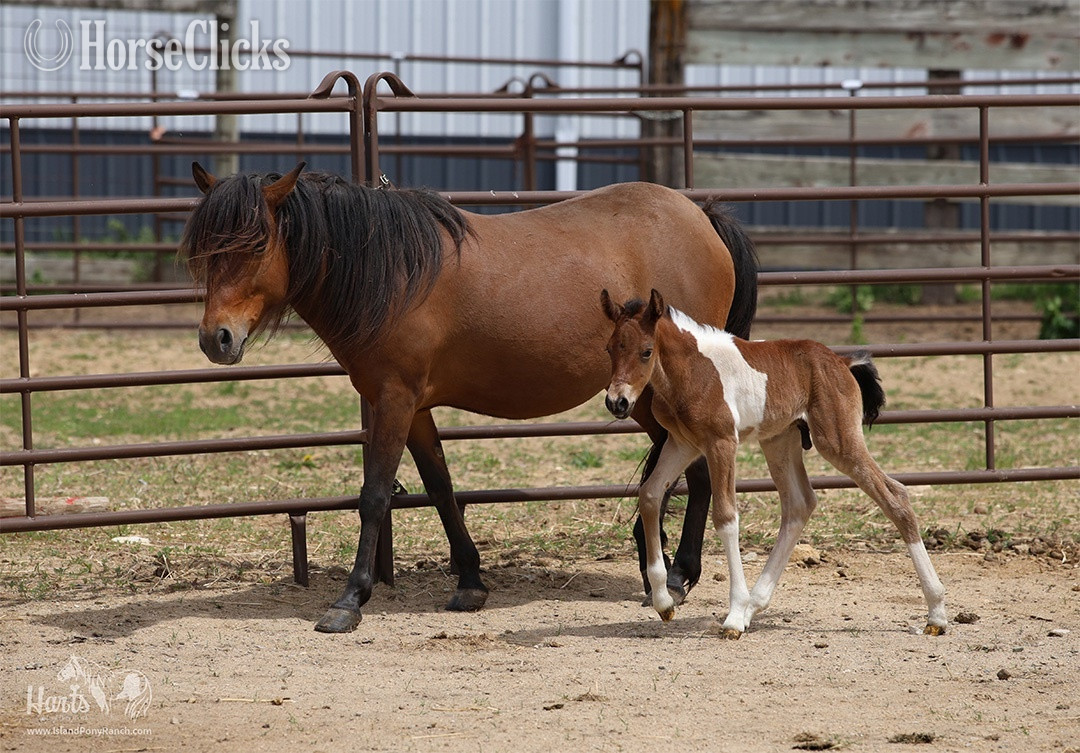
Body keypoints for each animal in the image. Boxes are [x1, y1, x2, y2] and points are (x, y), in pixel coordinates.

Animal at [181, 162, 759, 634]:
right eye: (206, 250)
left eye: (256, 246)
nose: (216, 339)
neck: (393, 272)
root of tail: (701, 215)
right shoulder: (414, 408)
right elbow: (440, 487)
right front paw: (470, 582)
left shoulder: (394, 399)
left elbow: (374, 496)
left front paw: (349, 600)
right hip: (641, 398)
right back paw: (661, 571)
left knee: (699, 473)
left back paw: (679, 576)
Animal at [601, 289, 947, 638]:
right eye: (609, 348)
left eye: (646, 352)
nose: (617, 402)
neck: (692, 371)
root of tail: (842, 362)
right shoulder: (682, 443)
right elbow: (649, 495)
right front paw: (664, 602)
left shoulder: (721, 443)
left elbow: (726, 517)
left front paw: (733, 617)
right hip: (780, 441)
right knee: (799, 504)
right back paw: (754, 605)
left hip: (837, 441)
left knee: (895, 495)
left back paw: (936, 613)